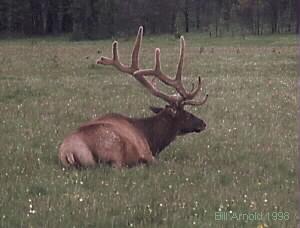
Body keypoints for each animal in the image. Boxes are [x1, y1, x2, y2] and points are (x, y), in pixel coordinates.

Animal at [59, 26, 209, 168]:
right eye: (187, 114)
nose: (203, 123)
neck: (151, 138)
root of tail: (68, 152)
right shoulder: (147, 152)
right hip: (113, 150)